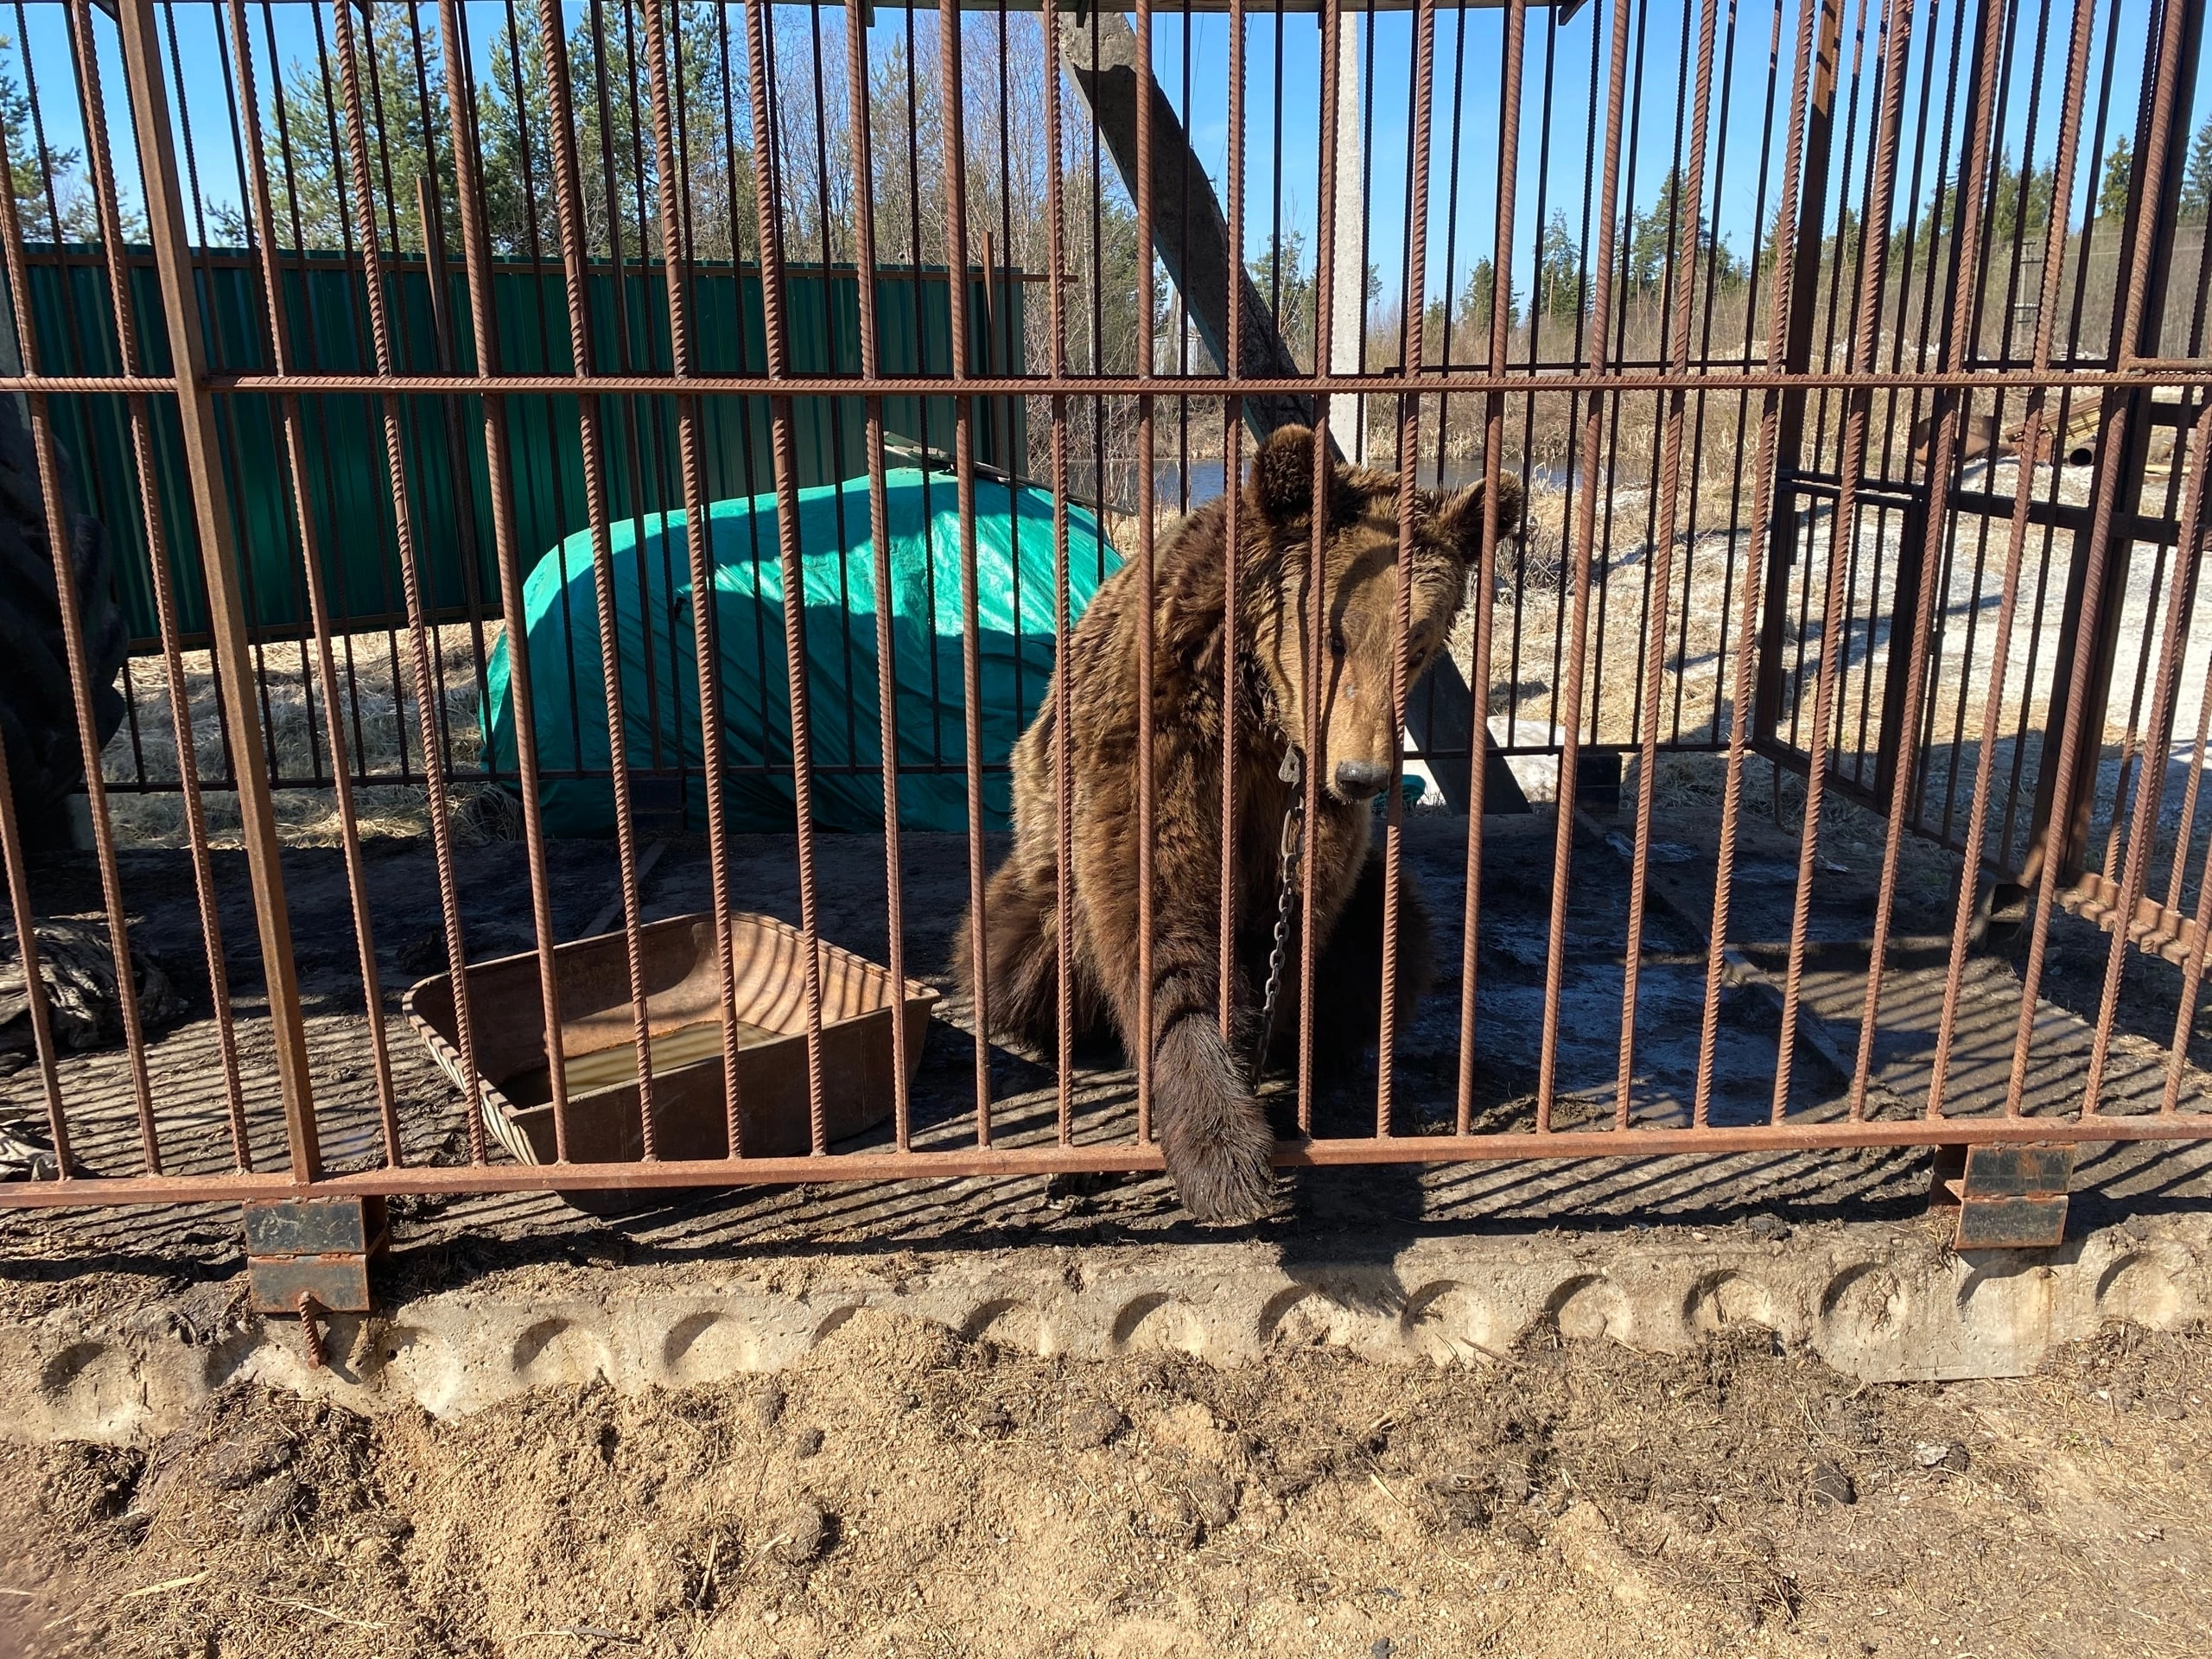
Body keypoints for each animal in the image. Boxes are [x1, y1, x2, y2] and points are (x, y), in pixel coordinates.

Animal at [950, 424, 1522, 1221]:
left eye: (1418, 643)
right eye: (1334, 635)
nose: (1363, 776)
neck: (1262, 707)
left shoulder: (1305, 802)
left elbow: (1306, 911)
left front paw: (1277, 1051)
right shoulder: (1161, 720)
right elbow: (1156, 907)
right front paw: (1222, 1147)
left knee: (1398, 933)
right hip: (1039, 887)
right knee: (1019, 956)